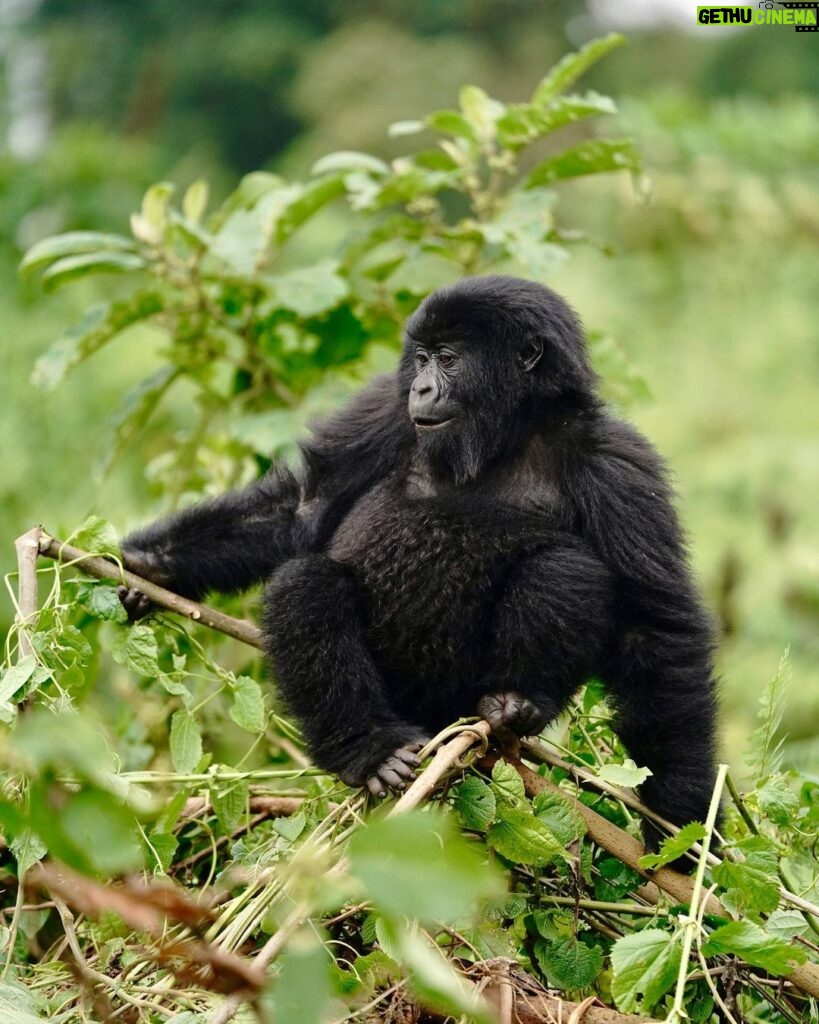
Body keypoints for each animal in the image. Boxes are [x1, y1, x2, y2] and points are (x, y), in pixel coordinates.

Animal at [116, 276, 716, 843]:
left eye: (449, 359)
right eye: (422, 358)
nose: (423, 387)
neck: (507, 433)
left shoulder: (617, 463)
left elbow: (653, 626)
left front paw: (677, 823)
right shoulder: (386, 405)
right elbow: (303, 506)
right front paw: (152, 564)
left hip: (457, 701)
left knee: (564, 567)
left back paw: (516, 705)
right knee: (307, 583)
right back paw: (370, 748)